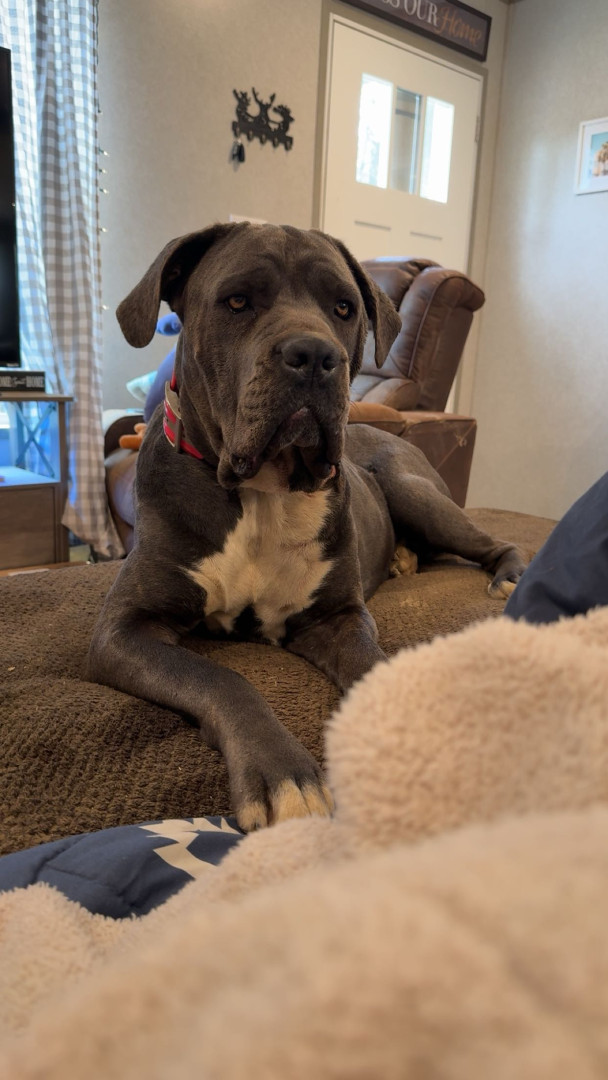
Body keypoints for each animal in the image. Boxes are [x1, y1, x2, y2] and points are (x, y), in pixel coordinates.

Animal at [89, 222, 526, 831]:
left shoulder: (336, 617)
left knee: (493, 541)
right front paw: (283, 773)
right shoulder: (126, 628)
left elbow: (373, 666)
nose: (317, 355)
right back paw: (405, 559)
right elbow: (221, 677)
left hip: (412, 491)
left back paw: (507, 576)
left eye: (344, 308)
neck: (262, 492)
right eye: (237, 301)